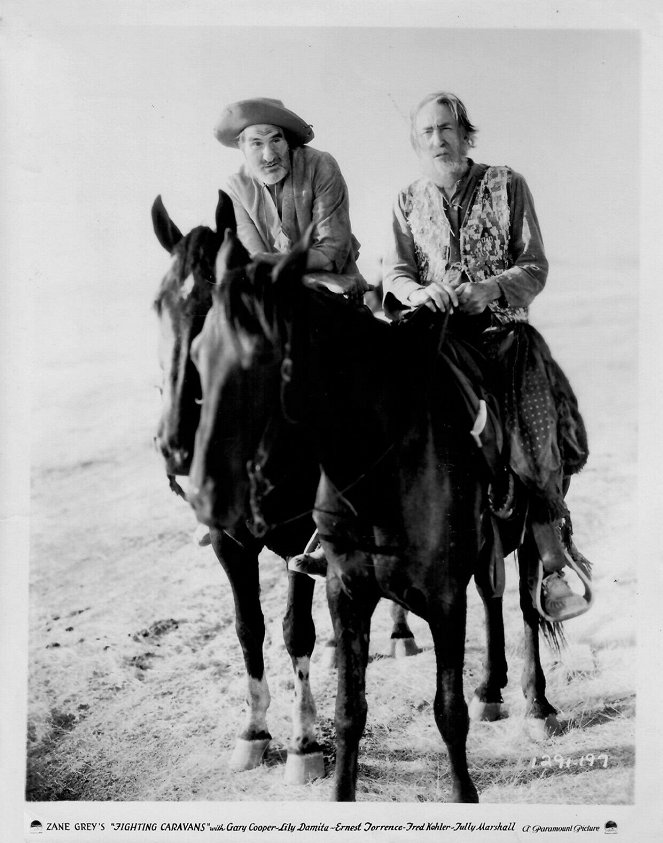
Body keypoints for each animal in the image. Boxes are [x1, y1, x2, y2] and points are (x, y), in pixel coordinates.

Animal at [153, 193, 418, 784]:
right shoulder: (229, 543)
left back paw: (400, 633)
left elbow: (297, 630)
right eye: (158, 305)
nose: (175, 442)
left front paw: (304, 742)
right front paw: (253, 731)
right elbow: (248, 627)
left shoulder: (300, 541)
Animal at [185, 231, 576, 804]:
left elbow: (447, 708)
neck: (379, 462)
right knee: (493, 595)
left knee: (528, 606)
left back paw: (537, 705)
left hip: (529, 532)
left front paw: (464, 792)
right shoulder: (342, 591)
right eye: (197, 350)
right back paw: (490, 688)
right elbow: (348, 708)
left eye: (256, 354)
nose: (202, 480)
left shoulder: (443, 595)